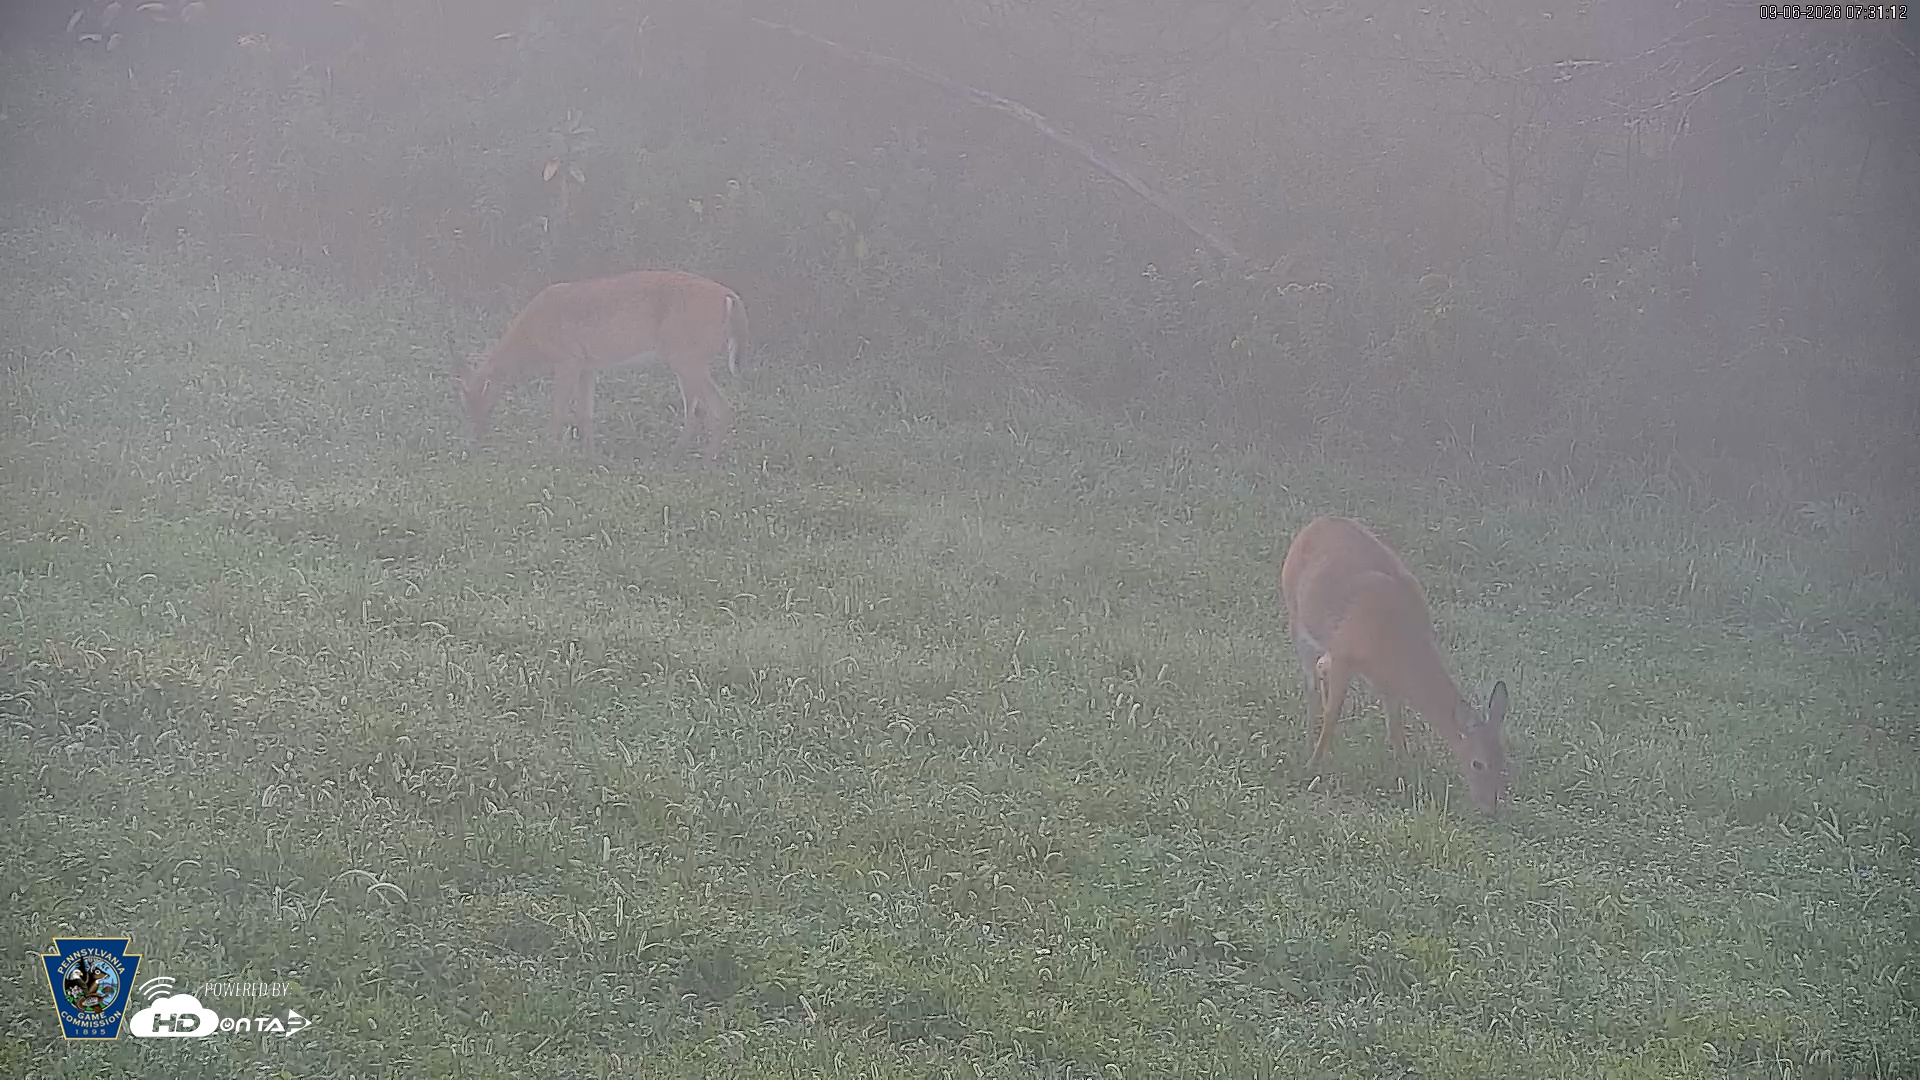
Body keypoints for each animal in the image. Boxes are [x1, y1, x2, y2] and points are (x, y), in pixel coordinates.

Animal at [454, 269, 748, 460]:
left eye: (479, 403)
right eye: (465, 407)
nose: (478, 438)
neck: (531, 337)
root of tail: (731, 297)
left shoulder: (568, 359)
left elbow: (558, 411)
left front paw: (548, 452)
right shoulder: (588, 365)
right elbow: (586, 413)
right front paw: (590, 455)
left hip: (687, 357)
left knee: (718, 407)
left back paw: (705, 461)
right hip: (688, 359)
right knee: (699, 410)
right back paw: (679, 456)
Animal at [1279, 515, 1510, 813]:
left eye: (1503, 760)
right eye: (1477, 763)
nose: (1490, 808)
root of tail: (1314, 524)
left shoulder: (1387, 682)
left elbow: (1395, 727)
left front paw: (1407, 774)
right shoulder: (1344, 655)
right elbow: (1332, 715)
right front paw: (1312, 766)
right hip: (1296, 619)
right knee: (1310, 685)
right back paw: (1309, 743)